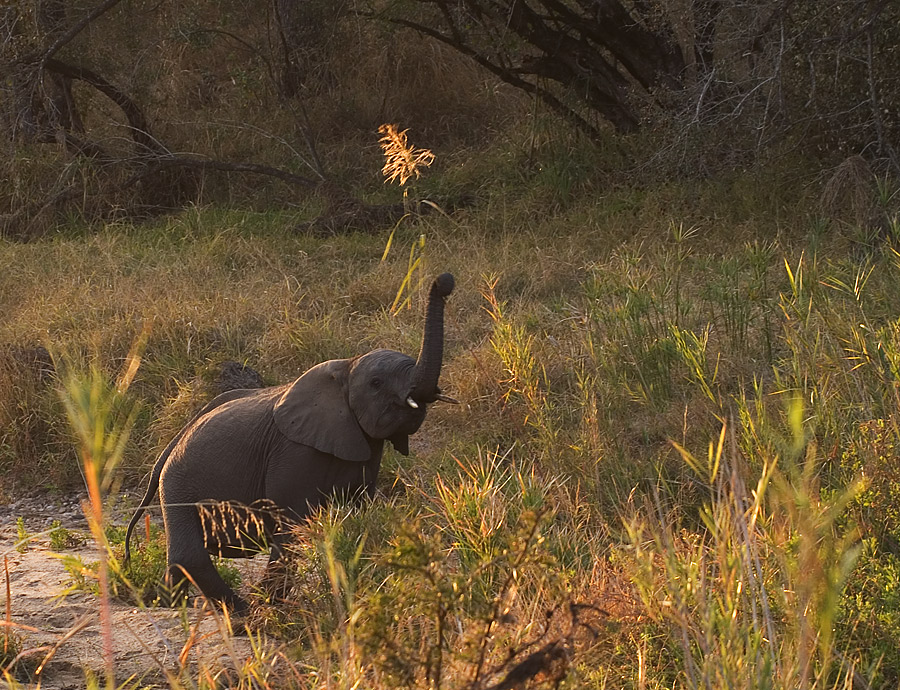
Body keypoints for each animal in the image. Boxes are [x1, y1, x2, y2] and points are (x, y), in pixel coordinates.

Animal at [125, 272, 458, 612]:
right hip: (178, 483)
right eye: (376, 384)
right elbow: (291, 523)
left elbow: (359, 513)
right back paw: (242, 612)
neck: (348, 366)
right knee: (190, 554)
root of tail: (170, 445)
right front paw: (273, 607)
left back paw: (169, 603)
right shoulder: (293, 452)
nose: (445, 281)